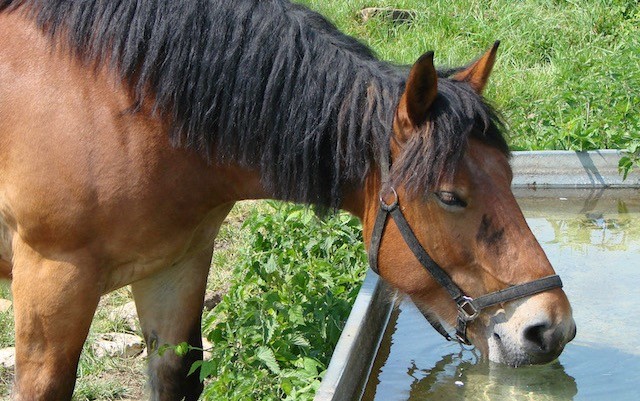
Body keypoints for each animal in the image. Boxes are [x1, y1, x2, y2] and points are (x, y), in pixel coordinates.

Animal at [0, 0, 576, 400]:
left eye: (510, 174)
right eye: (450, 196)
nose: (550, 328)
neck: (121, 103)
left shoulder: (175, 265)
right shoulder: (54, 278)